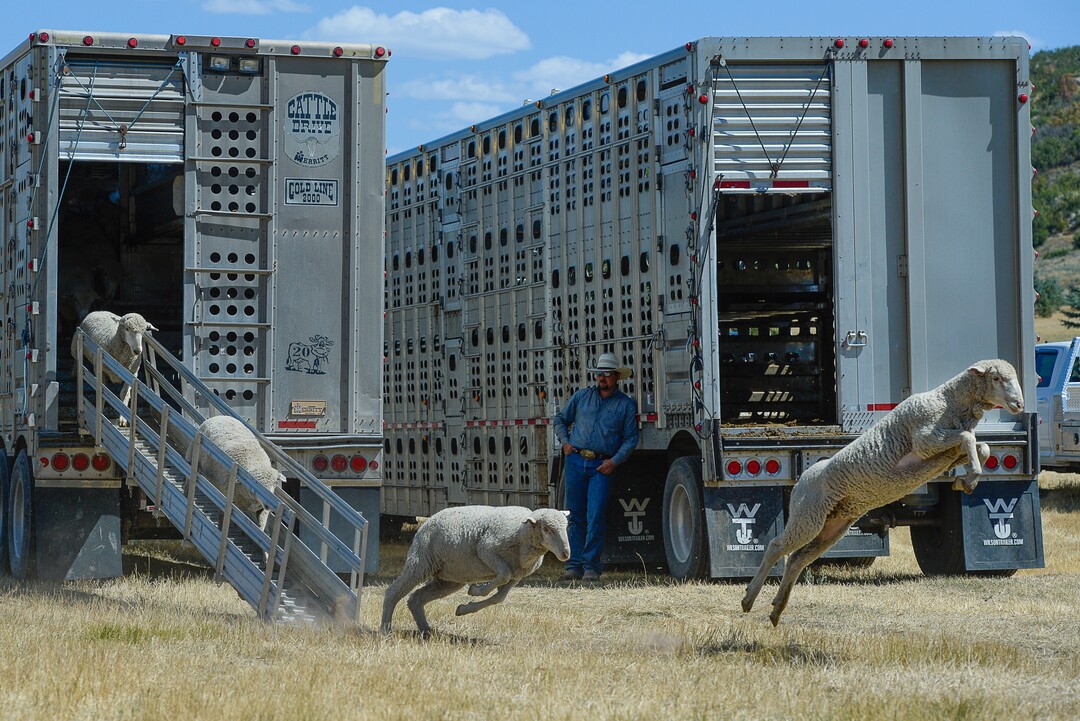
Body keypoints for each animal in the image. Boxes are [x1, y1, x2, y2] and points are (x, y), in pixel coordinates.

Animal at [381, 506, 571, 636]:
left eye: (566, 527)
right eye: (546, 529)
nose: (566, 553)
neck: (521, 534)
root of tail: (427, 521)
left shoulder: (517, 576)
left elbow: (499, 597)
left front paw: (463, 609)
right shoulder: (486, 550)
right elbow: (503, 575)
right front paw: (476, 590)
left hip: (449, 578)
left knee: (416, 598)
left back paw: (426, 630)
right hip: (420, 562)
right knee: (393, 592)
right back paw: (385, 629)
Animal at [741, 359, 1024, 626]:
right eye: (997, 378)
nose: (1020, 404)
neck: (949, 401)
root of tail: (802, 480)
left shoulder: (948, 454)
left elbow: (982, 447)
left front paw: (964, 481)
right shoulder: (925, 441)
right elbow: (967, 437)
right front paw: (971, 478)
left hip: (832, 526)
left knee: (798, 559)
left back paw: (777, 608)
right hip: (808, 515)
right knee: (776, 546)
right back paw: (749, 598)